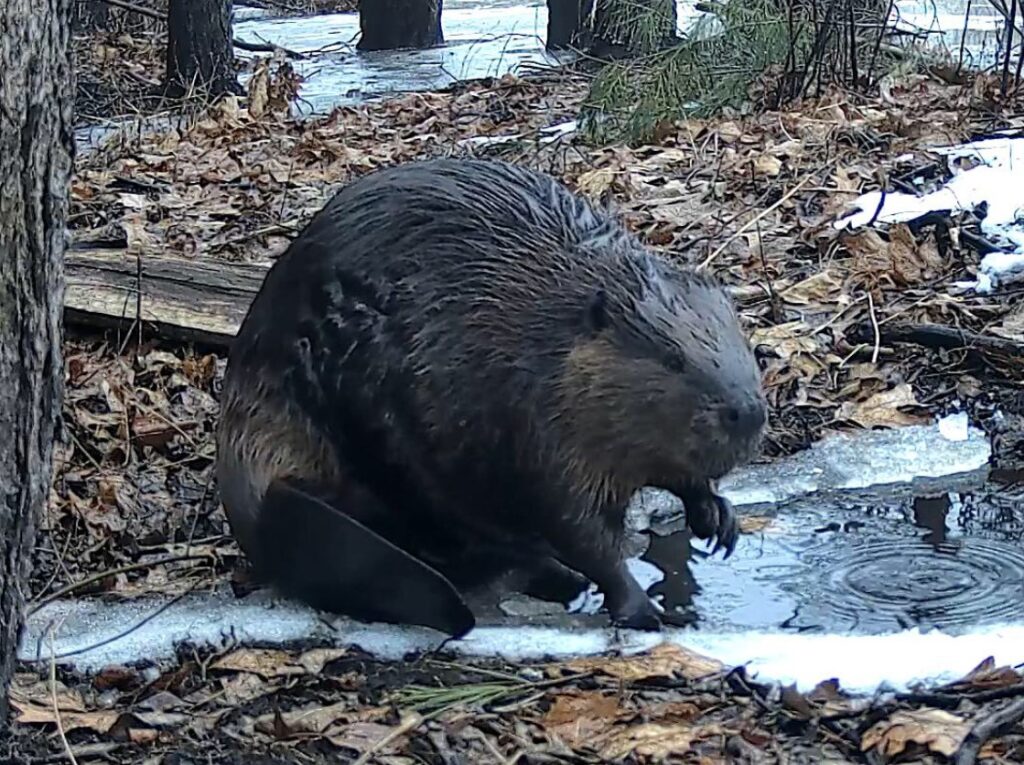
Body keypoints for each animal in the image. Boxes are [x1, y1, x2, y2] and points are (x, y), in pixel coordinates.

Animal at [216, 153, 770, 634]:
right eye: (673, 359)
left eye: (742, 343)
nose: (747, 412)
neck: (546, 336)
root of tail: (258, 502)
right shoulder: (536, 424)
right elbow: (577, 526)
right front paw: (640, 607)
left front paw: (717, 518)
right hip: (378, 432)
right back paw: (557, 576)